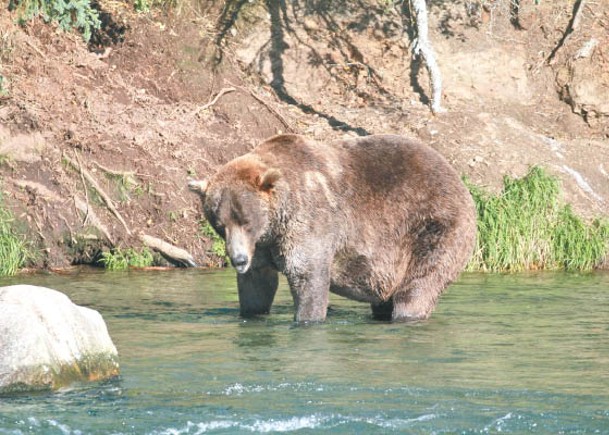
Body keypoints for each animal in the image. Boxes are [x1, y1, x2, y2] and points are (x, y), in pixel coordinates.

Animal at [189, 135, 476, 322]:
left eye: (246, 221)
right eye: (220, 225)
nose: (238, 260)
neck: (275, 224)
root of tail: (458, 179)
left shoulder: (310, 220)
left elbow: (308, 276)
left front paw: (307, 318)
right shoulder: (262, 246)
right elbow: (257, 284)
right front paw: (251, 313)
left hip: (434, 227)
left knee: (419, 285)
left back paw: (407, 314)